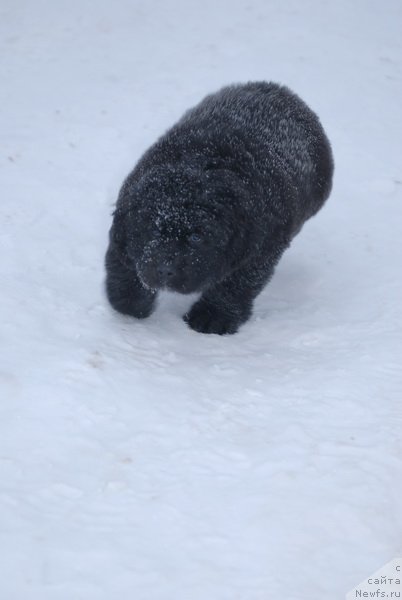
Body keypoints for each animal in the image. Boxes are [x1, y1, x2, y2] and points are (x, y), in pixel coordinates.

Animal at [104, 80, 332, 336]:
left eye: (196, 238)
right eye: (152, 229)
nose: (165, 269)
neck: (200, 163)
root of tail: (278, 89)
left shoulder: (260, 248)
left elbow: (234, 286)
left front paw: (212, 318)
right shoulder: (125, 216)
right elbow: (124, 263)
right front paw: (129, 302)